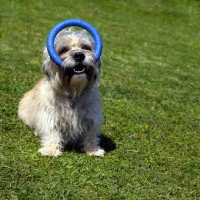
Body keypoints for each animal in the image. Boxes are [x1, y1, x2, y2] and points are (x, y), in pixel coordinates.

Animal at [18, 29, 105, 158]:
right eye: (63, 49)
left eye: (86, 47)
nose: (79, 55)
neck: (72, 92)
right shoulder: (50, 116)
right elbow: (52, 132)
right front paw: (50, 150)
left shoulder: (91, 117)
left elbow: (91, 135)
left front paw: (93, 149)